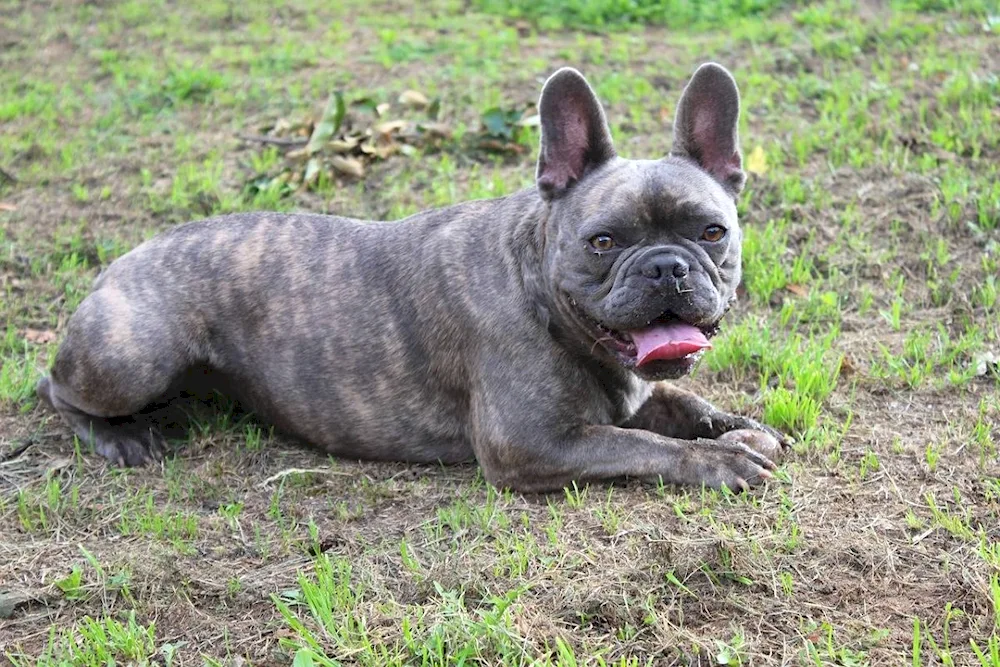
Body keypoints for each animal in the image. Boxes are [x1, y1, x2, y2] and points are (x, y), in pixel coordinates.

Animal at [37, 64, 788, 490]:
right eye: (602, 242)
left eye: (712, 232)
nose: (665, 265)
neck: (540, 289)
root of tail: (121, 261)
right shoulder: (532, 444)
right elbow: (643, 443)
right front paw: (717, 461)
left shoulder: (636, 392)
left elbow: (685, 406)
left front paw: (738, 428)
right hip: (130, 355)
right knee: (58, 390)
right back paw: (120, 437)